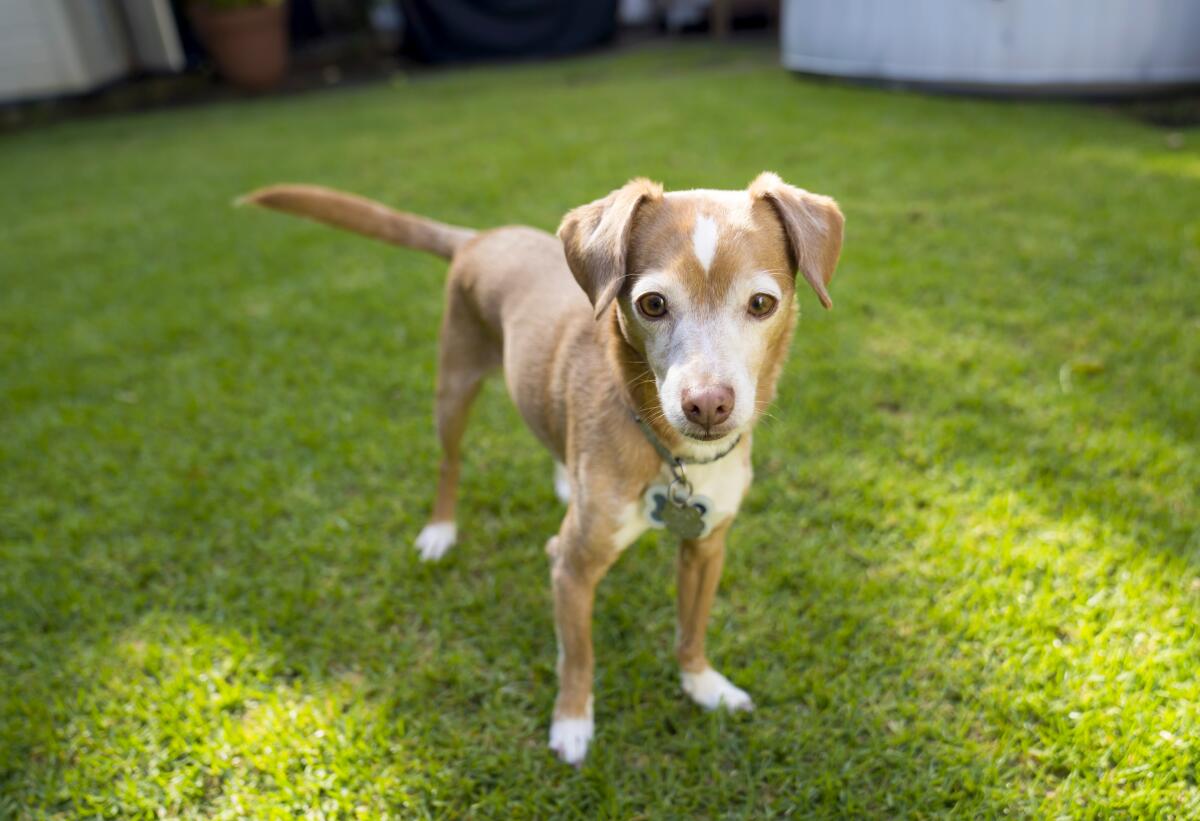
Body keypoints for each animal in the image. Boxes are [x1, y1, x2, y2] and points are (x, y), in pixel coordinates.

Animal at [241, 176, 844, 768]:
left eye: (762, 303)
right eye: (652, 303)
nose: (707, 405)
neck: (670, 454)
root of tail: (481, 236)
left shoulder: (707, 547)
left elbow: (690, 629)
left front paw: (702, 685)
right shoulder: (571, 568)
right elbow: (578, 654)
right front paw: (573, 722)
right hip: (453, 386)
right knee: (449, 464)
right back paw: (440, 530)